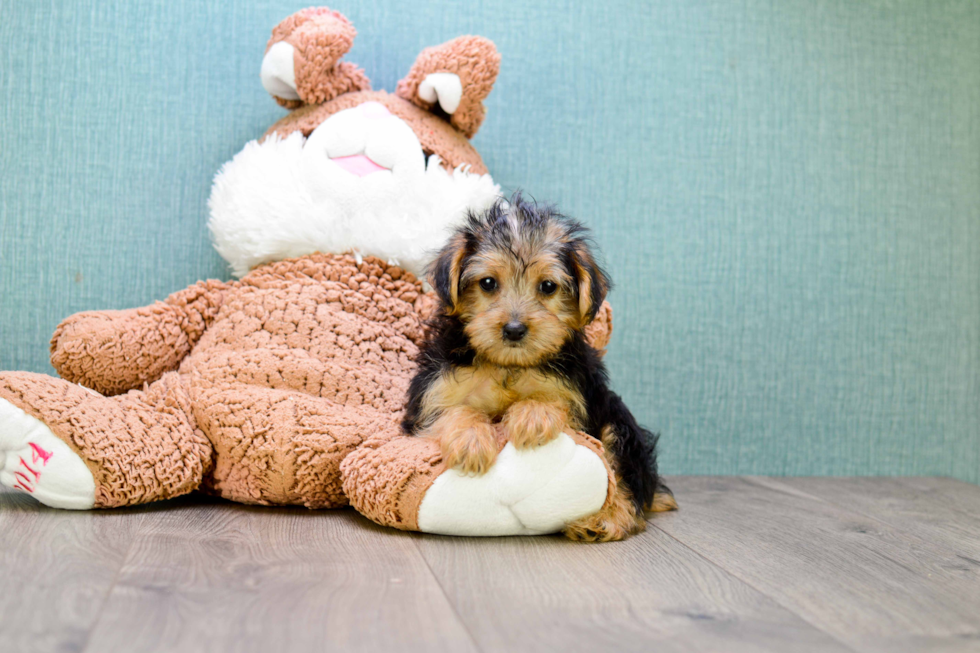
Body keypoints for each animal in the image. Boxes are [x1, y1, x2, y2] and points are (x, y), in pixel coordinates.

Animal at [402, 192, 676, 540]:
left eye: (547, 287)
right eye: (488, 283)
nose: (514, 329)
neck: (508, 365)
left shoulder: (575, 396)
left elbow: (549, 399)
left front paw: (532, 417)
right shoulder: (433, 394)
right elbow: (454, 411)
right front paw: (471, 442)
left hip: (618, 423)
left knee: (626, 479)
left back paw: (605, 520)